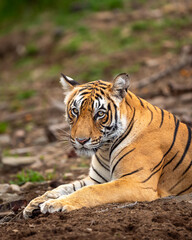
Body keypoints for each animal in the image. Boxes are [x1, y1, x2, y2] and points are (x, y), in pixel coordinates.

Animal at [23, 72, 192, 218]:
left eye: (100, 114)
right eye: (75, 111)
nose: (81, 140)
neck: (106, 148)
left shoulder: (136, 182)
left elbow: (90, 191)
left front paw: (54, 204)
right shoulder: (97, 178)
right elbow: (64, 187)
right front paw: (35, 202)